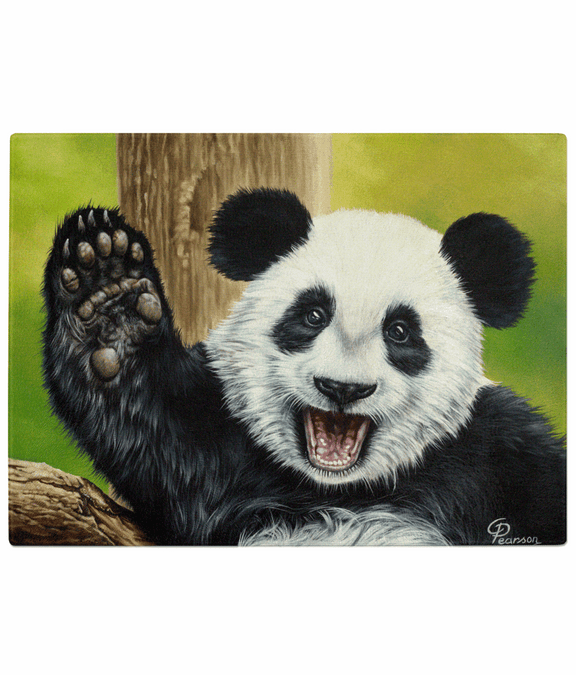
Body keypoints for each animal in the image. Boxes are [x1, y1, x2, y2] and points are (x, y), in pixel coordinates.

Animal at [42, 188, 566, 546]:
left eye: (400, 331)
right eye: (313, 315)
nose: (342, 389)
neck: (340, 490)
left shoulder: (497, 453)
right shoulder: (219, 447)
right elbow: (150, 419)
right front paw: (109, 293)